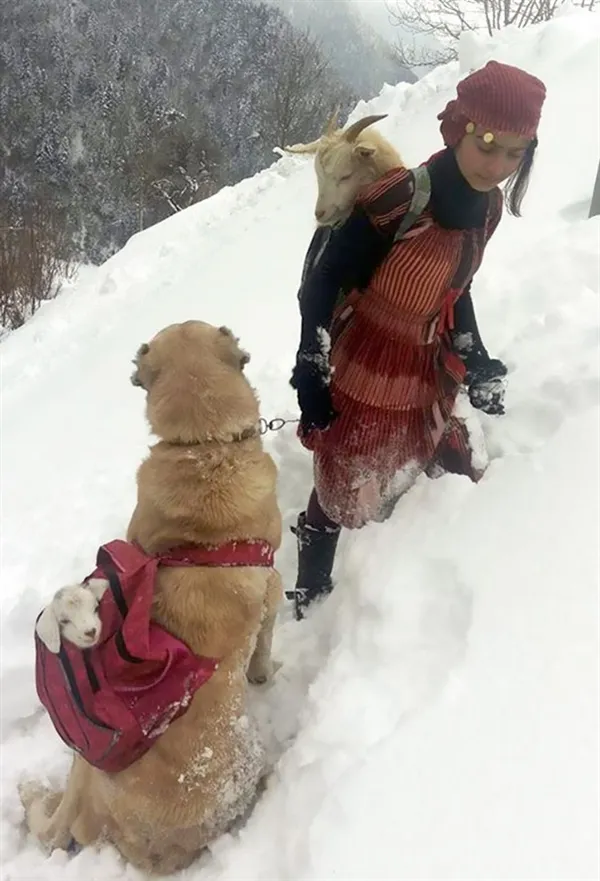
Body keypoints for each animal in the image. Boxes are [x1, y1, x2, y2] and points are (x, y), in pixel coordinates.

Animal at [18, 322, 282, 872]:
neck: (204, 449)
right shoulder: (274, 587)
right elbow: (265, 645)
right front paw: (264, 673)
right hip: (89, 767)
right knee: (52, 825)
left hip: (88, 765)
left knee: (55, 826)